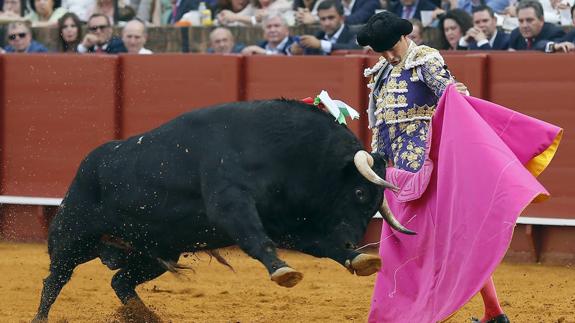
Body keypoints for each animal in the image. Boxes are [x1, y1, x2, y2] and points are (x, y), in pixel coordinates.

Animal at [33, 99, 412, 322]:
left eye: (375, 203)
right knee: (55, 279)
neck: (277, 148)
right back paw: (41, 318)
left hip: (152, 252)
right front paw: (283, 271)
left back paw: (146, 317)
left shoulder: (289, 225)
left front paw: (360, 260)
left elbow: (321, 246)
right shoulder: (230, 205)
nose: (353, 242)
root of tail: (88, 164)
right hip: (72, 236)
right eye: (359, 191)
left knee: (120, 281)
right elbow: (256, 239)